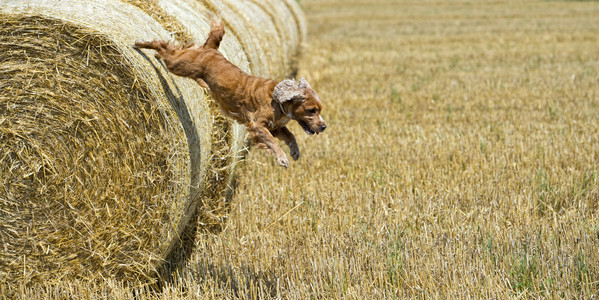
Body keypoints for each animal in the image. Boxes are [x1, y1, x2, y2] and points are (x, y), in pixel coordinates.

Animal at [134, 19, 326, 168]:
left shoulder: (276, 127)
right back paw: (140, 44)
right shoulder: (257, 125)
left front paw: (295, 151)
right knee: (164, 46)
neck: (277, 100)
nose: (323, 126)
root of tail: (210, 49)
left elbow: (290, 135)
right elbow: (272, 141)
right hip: (180, 65)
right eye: (311, 110)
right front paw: (282, 158)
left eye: (320, 109)